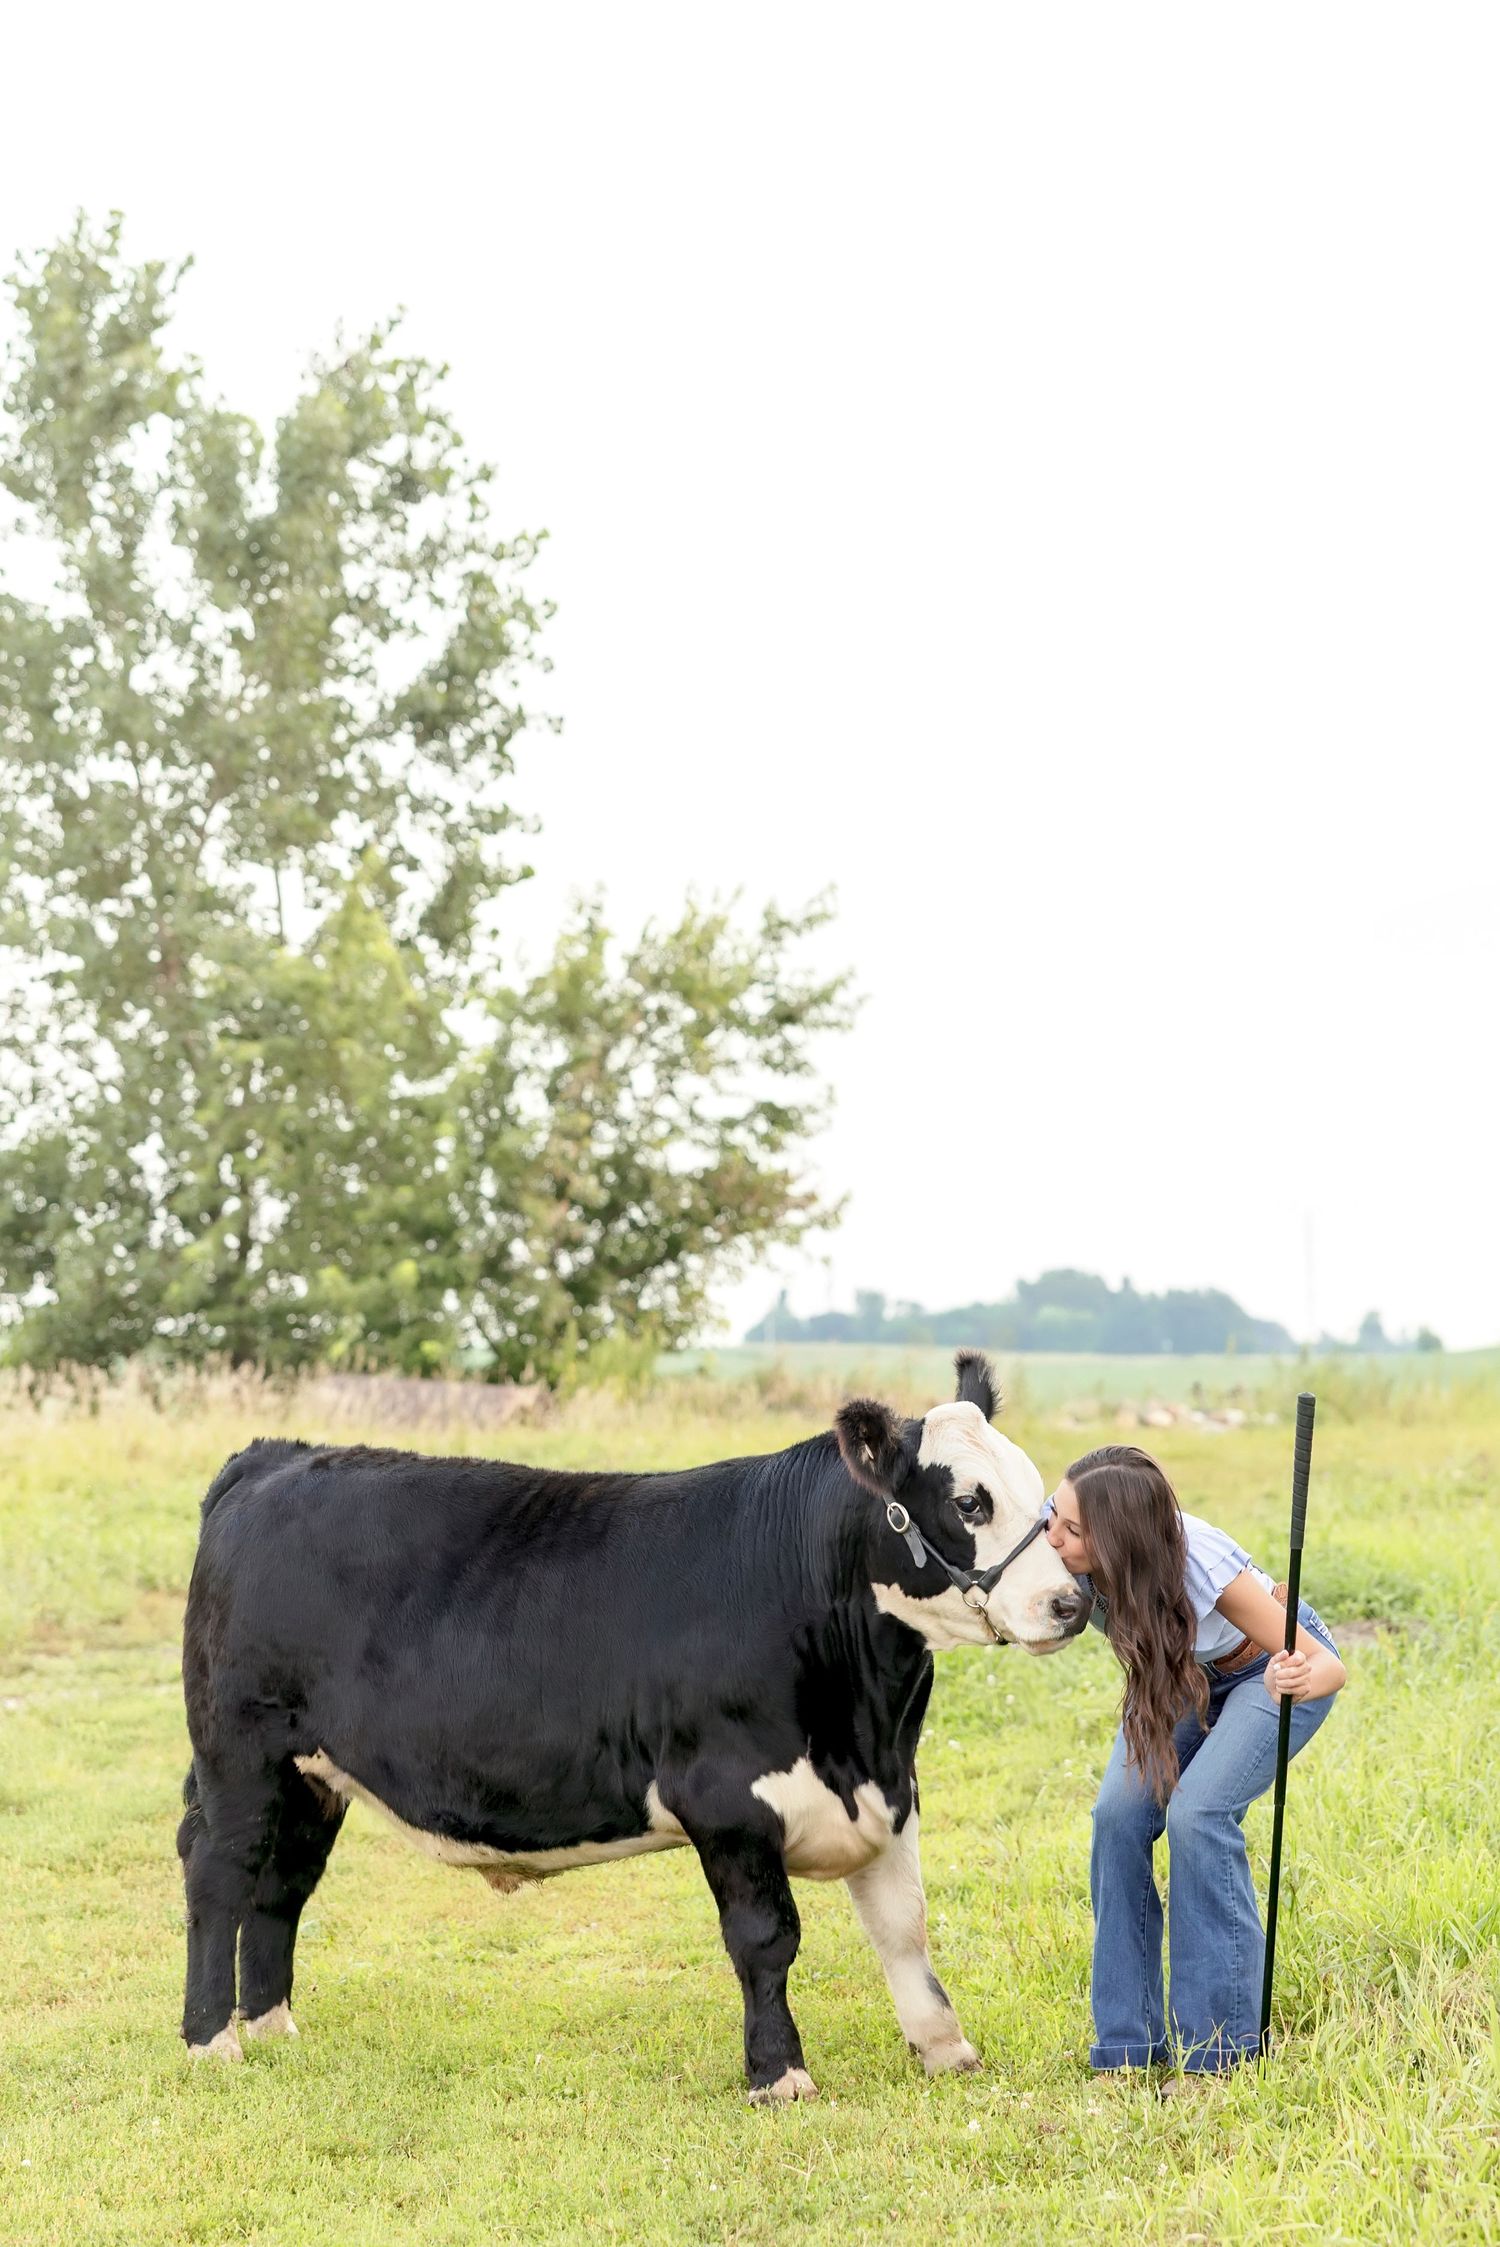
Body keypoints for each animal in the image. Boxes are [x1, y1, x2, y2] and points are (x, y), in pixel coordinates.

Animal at [178, 1350, 1090, 2100]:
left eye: (1036, 1489)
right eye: (969, 1501)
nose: (1070, 1600)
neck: (860, 1722)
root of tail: (276, 1455)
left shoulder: (891, 1790)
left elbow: (905, 1928)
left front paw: (946, 2049)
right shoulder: (727, 1800)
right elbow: (766, 1939)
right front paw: (778, 2074)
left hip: (312, 1772)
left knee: (283, 1882)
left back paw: (273, 2025)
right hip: (241, 1752)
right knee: (219, 1873)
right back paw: (212, 2041)